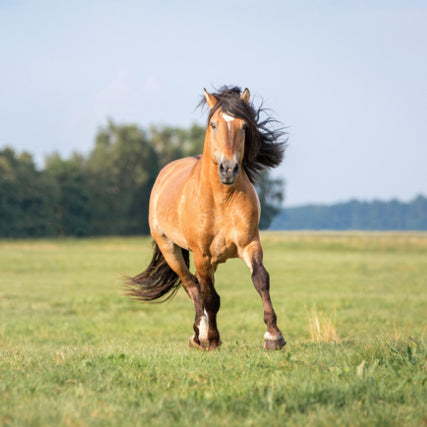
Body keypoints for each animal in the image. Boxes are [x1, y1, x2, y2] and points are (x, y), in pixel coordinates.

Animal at [126, 86, 288, 352]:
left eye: (244, 126)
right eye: (213, 125)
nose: (228, 169)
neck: (222, 200)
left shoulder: (249, 244)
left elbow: (261, 279)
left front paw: (273, 336)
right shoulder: (201, 254)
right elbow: (210, 297)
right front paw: (211, 339)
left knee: (200, 285)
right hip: (171, 249)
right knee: (192, 285)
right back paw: (200, 334)